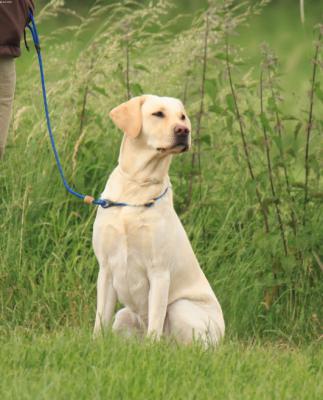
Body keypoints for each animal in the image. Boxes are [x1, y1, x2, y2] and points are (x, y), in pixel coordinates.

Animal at [93, 95, 225, 346]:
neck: (137, 185)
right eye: (158, 114)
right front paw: (95, 343)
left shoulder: (160, 272)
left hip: (180, 307)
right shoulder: (105, 269)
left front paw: (151, 349)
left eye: (182, 116)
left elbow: (155, 320)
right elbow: (100, 319)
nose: (184, 130)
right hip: (123, 315)